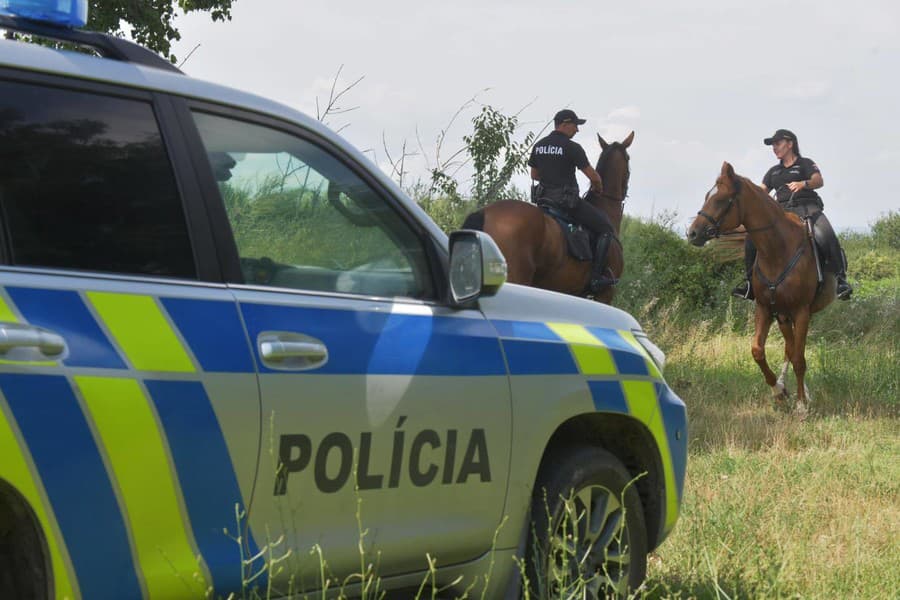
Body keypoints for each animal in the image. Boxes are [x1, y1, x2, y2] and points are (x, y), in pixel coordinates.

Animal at [688, 162, 836, 414]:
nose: (692, 233)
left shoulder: (801, 311)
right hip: (783, 316)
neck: (777, 249)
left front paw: (801, 405)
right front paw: (778, 391)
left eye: (721, 200)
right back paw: (787, 387)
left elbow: (799, 359)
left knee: (794, 351)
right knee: (789, 348)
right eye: (708, 196)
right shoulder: (765, 308)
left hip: (794, 315)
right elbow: (758, 350)